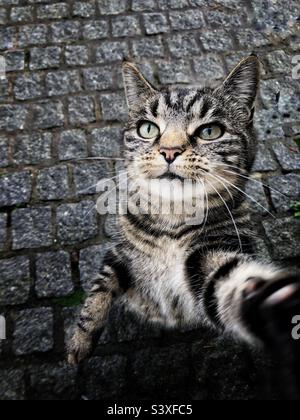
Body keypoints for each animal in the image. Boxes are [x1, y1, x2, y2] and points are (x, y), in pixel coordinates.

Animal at [68, 56, 300, 368]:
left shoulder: (212, 252)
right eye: (148, 129)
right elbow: (100, 286)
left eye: (210, 131)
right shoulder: (120, 252)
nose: (169, 151)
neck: (172, 218)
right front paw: (81, 339)